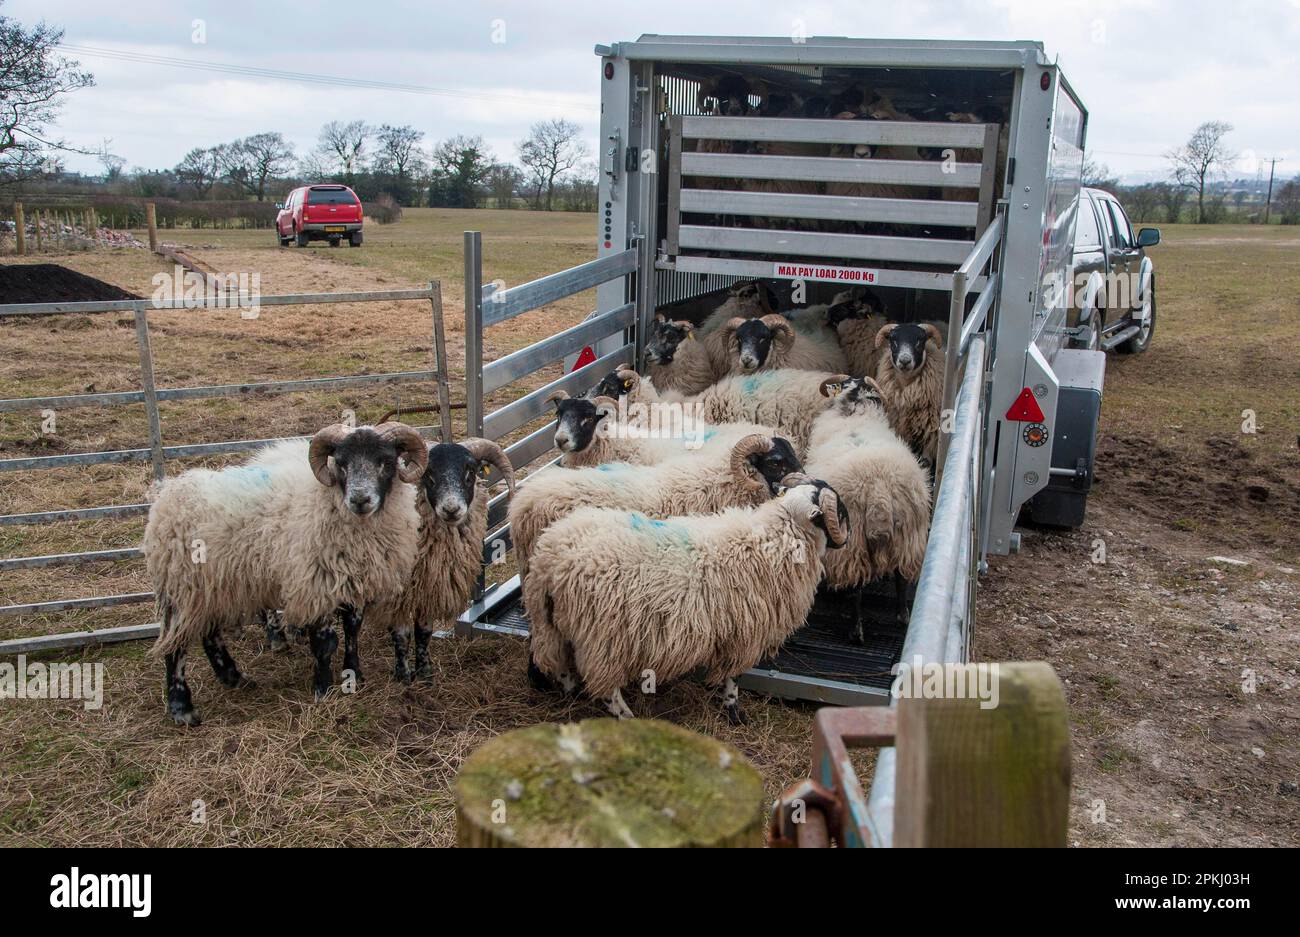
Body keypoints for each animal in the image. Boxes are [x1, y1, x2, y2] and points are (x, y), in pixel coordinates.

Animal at [142, 421, 426, 722]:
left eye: (386, 461)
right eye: (341, 463)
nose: (360, 500)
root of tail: (166, 496)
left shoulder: (354, 581)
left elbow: (352, 632)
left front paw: (354, 675)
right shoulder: (315, 584)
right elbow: (325, 642)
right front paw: (322, 689)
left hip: (214, 586)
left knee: (209, 634)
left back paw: (235, 678)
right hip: (182, 588)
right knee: (176, 645)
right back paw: (182, 708)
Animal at [369, 434, 514, 680]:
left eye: (470, 472)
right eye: (428, 474)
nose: (451, 509)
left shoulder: (429, 586)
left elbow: (424, 631)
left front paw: (425, 673)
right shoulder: (395, 593)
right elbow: (400, 633)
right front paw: (403, 675)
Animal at [522, 483, 847, 722]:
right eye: (840, 510)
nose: (846, 538)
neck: (778, 536)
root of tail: (549, 561)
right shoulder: (746, 634)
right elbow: (734, 676)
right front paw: (733, 710)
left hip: (551, 623)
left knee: (557, 660)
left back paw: (571, 690)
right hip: (604, 639)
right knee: (605, 687)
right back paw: (625, 715)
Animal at [795, 376, 930, 639]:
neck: (855, 411)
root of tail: (879, 490)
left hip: (853, 539)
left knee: (856, 586)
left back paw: (856, 631)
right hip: (909, 534)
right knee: (901, 578)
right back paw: (903, 616)